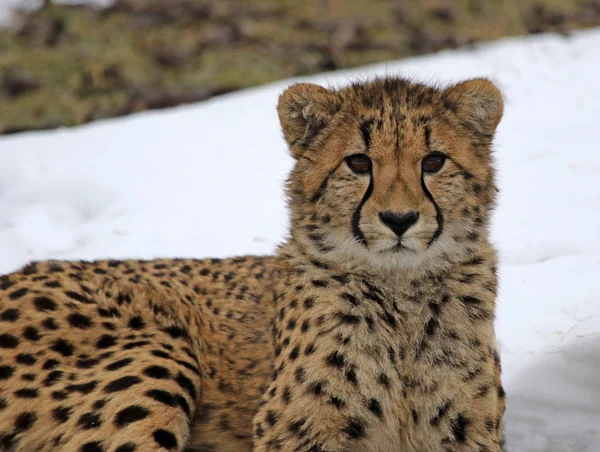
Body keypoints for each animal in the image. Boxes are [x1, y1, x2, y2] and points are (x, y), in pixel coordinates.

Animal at [0, 76, 504, 450]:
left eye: (434, 161)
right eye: (359, 163)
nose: (399, 220)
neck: (400, 297)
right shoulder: (295, 429)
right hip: (156, 348)